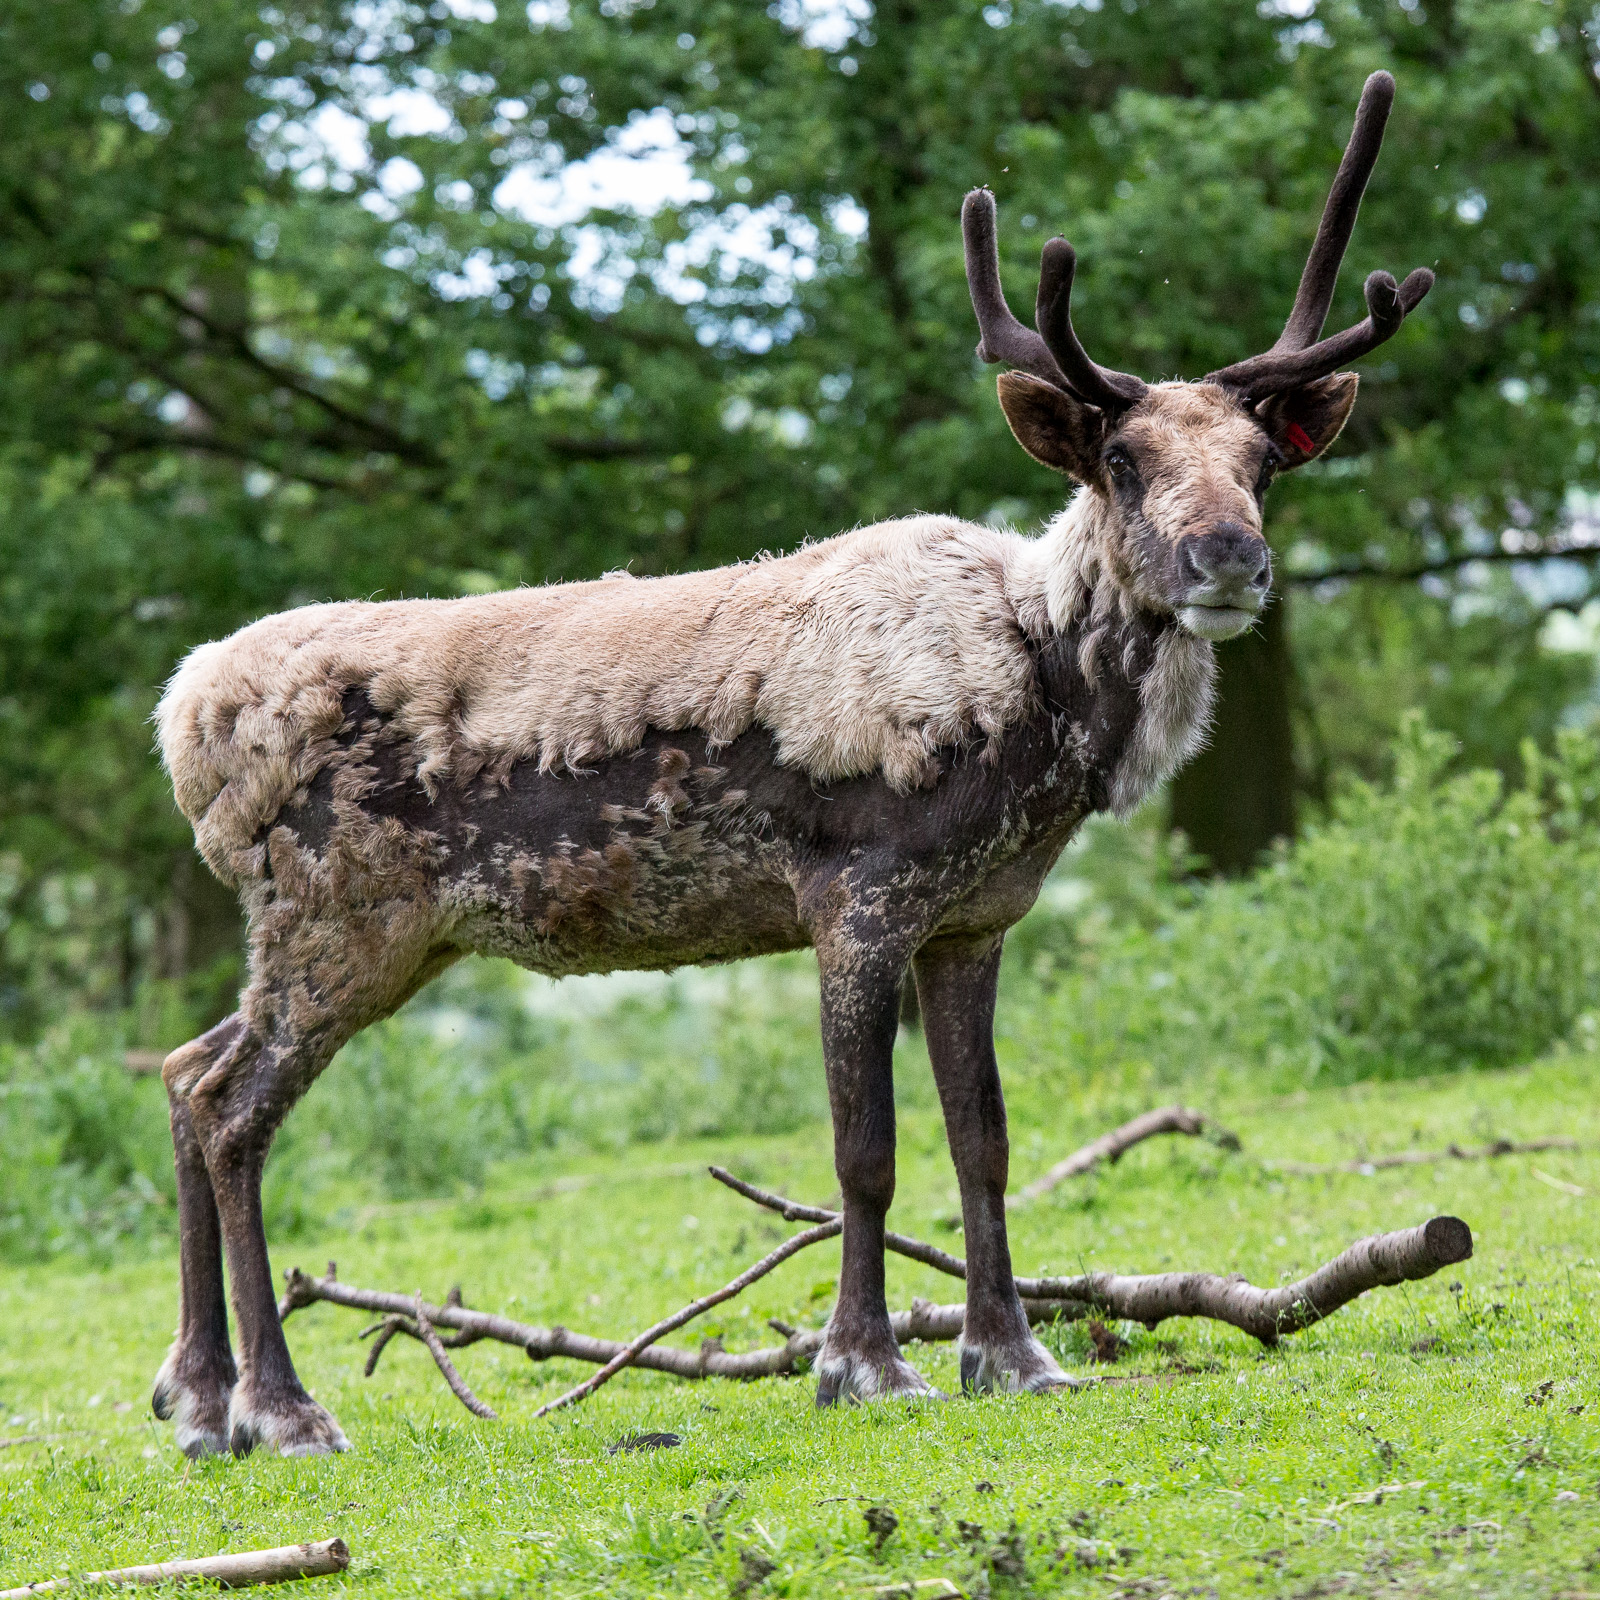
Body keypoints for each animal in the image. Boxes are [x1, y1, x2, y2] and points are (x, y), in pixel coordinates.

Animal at [150, 72, 1429, 1456]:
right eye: (1121, 460)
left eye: (1262, 465)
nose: (1228, 560)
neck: (1039, 721)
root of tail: (182, 721)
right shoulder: (857, 895)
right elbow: (864, 1146)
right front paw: (863, 1363)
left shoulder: (975, 916)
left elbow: (983, 1140)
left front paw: (1013, 1354)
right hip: (344, 918)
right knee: (232, 1113)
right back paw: (283, 1409)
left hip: (355, 933)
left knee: (181, 1069)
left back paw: (197, 1396)